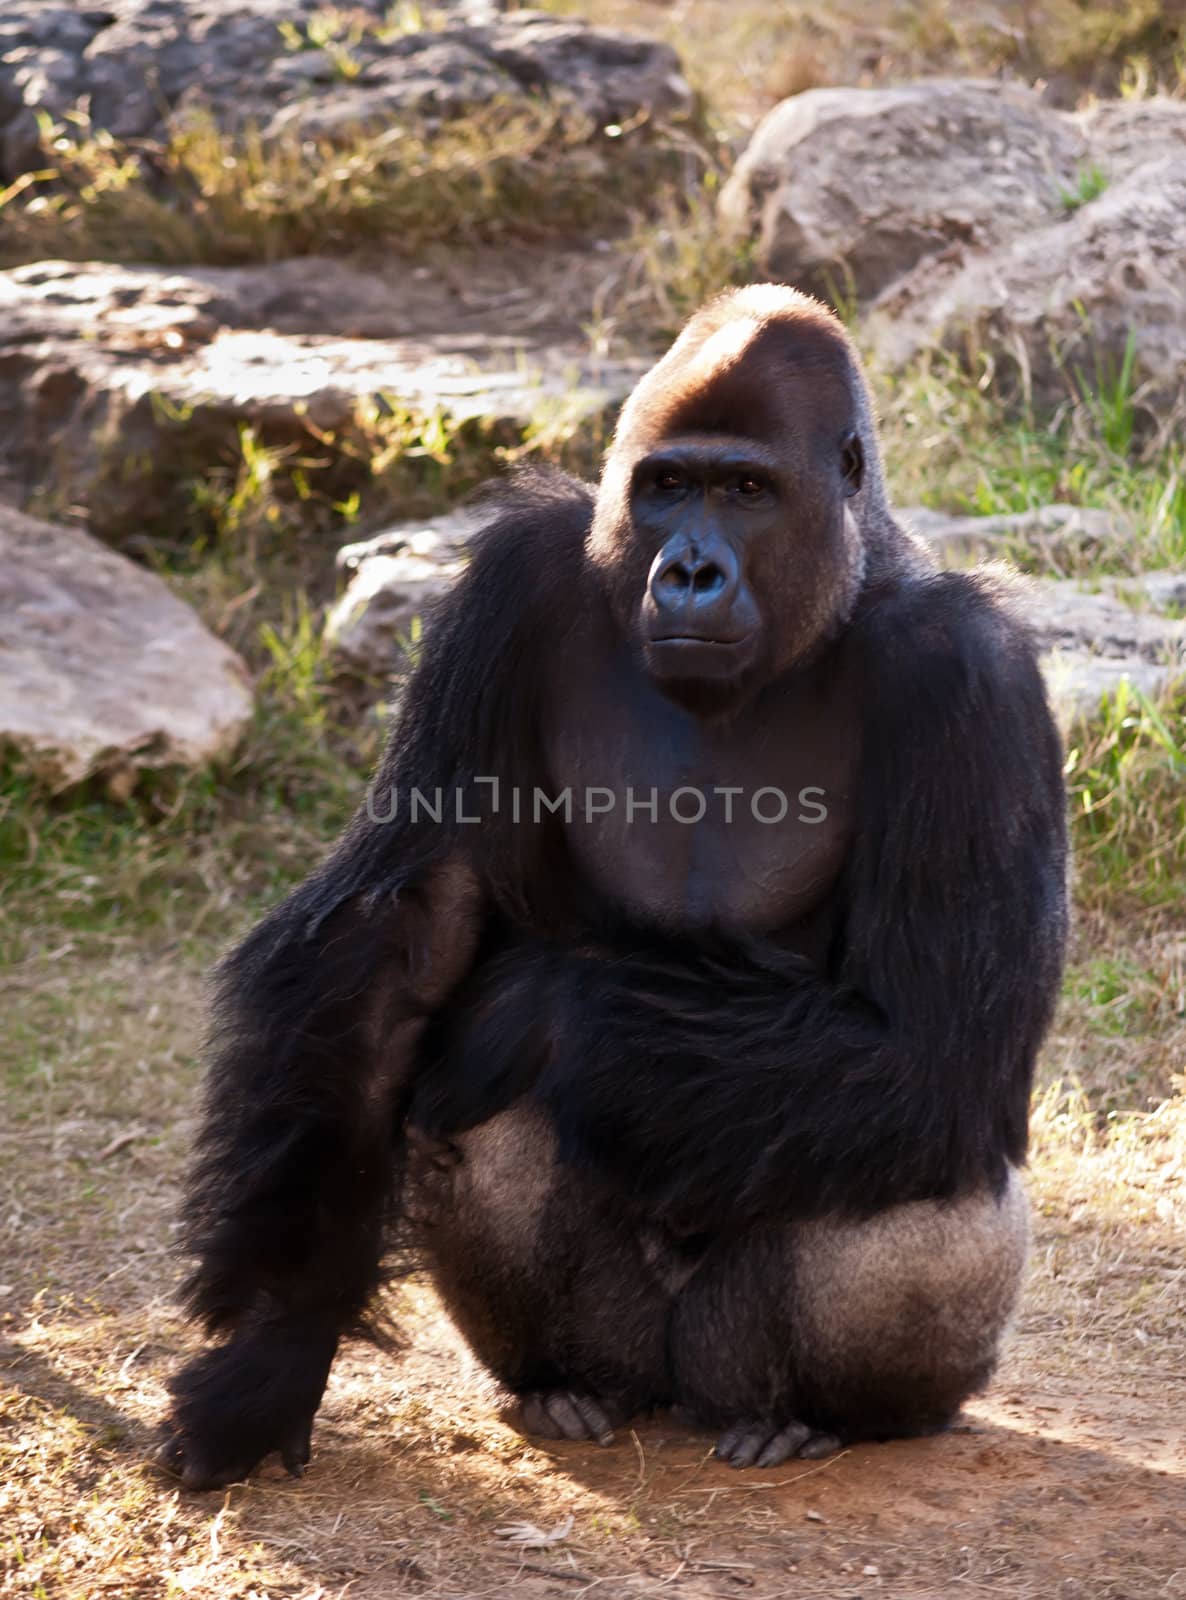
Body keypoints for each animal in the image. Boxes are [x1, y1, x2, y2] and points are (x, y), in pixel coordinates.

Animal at [161, 284, 1069, 1484]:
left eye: (746, 492)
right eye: (669, 487)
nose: (689, 571)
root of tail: (683, 1386)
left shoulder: (971, 675)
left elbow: (935, 1046)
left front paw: (531, 1003)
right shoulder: (515, 583)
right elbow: (410, 930)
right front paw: (282, 1341)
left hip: (754, 1355)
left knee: (921, 1162)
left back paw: (814, 1416)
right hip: (629, 1340)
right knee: (490, 1128)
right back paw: (566, 1387)